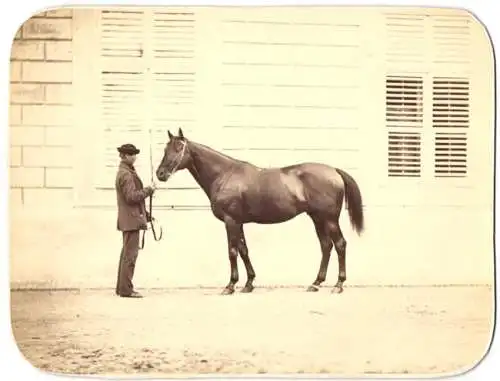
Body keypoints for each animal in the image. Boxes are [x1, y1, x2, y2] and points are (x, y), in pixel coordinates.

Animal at [155, 127, 364, 294]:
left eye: (179, 148)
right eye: (166, 149)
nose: (160, 174)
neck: (224, 175)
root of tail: (334, 171)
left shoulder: (231, 221)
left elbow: (232, 251)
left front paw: (230, 286)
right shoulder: (238, 222)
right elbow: (244, 250)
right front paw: (248, 284)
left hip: (329, 219)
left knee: (340, 244)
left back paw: (338, 285)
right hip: (317, 218)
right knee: (326, 246)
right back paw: (316, 283)